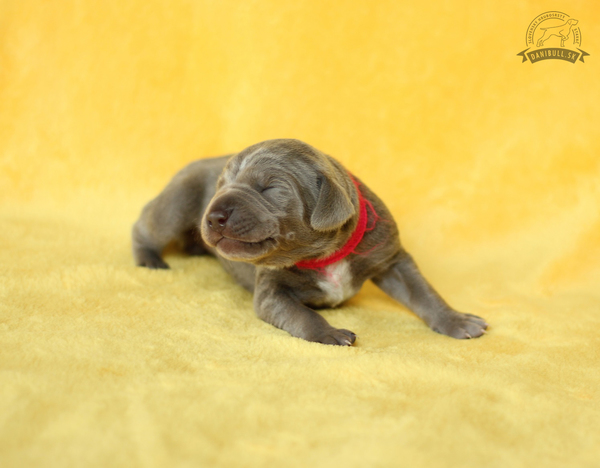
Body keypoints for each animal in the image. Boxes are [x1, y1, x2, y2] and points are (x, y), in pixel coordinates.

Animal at [132, 137, 488, 346]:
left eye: (269, 188)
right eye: (219, 187)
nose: (214, 214)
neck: (325, 255)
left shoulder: (391, 256)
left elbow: (424, 292)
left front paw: (456, 320)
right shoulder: (271, 290)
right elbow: (302, 315)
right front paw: (329, 333)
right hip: (178, 201)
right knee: (146, 223)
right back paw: (149, 258)